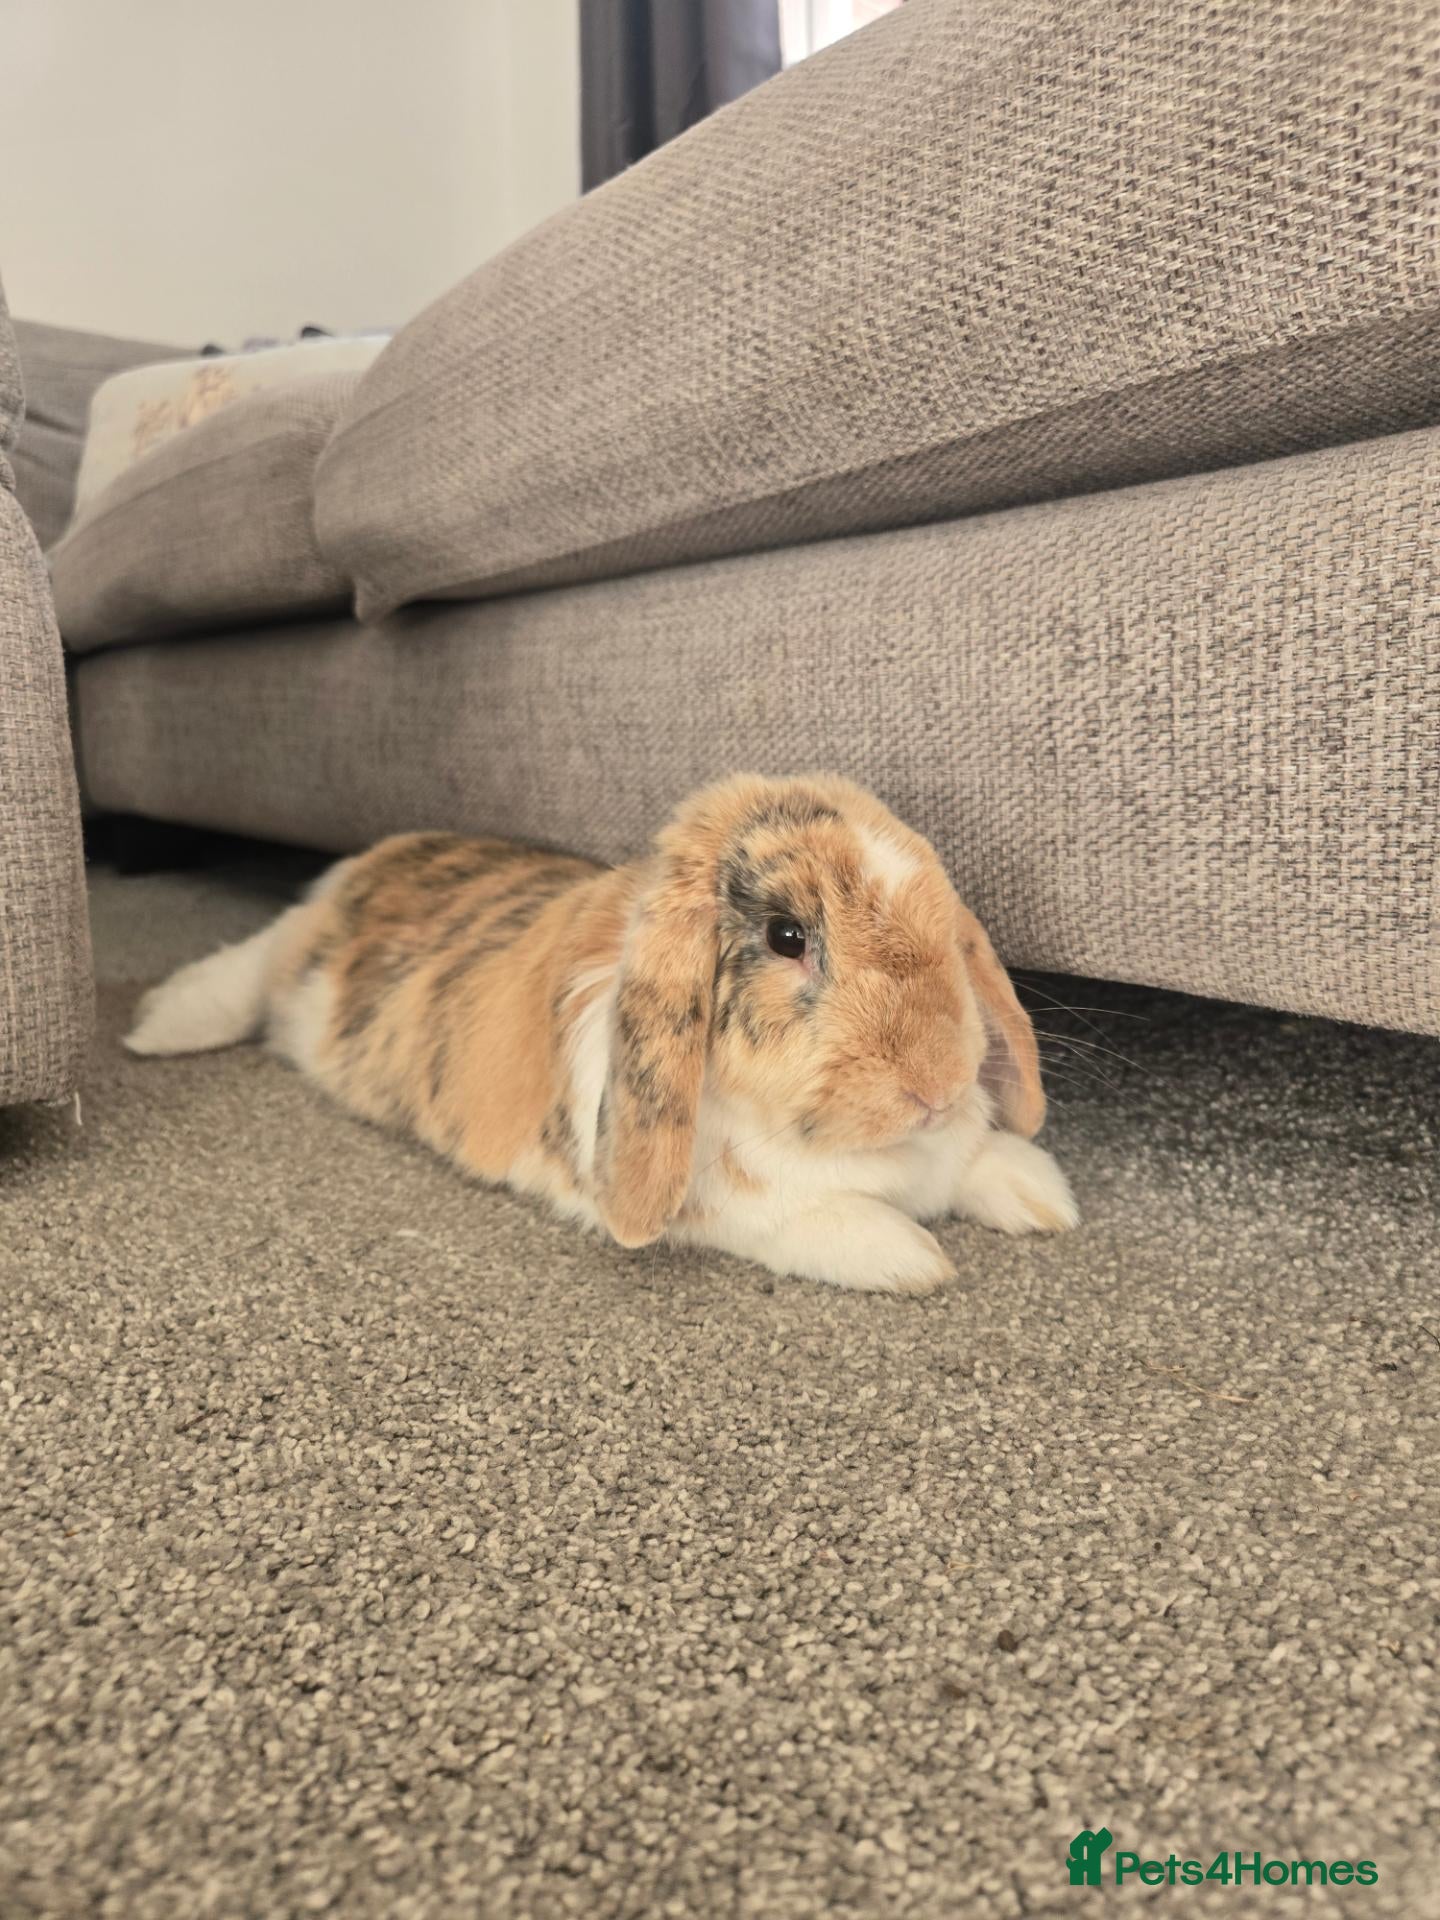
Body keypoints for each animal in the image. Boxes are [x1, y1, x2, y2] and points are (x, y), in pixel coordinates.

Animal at [125, 773, 1077, 1293]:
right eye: (787, 936)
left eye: (946, 922)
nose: (937, 1086)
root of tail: (369, 863)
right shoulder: (732, 1205)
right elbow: (810, 1218)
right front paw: (912, 1258)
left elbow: (977, 1163)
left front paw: (1044, 1198)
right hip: (287, 966)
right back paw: (158, 1030)